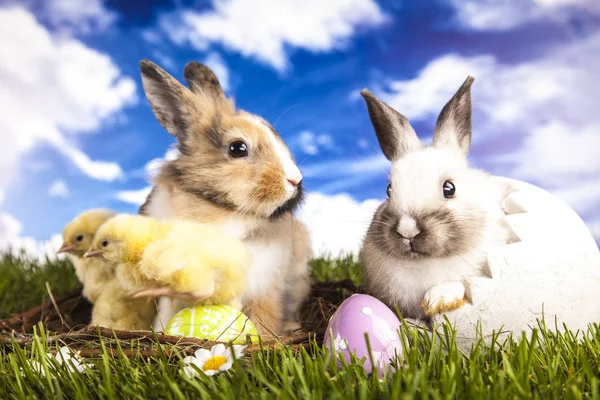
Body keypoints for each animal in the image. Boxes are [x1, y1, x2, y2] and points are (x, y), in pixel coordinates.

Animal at [138, 59, 312, 338]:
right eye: (238, 148)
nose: (295, 180)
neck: (222, 210)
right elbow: (166, 309)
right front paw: (162, 334)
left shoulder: (265, 284)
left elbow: (264, 315)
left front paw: (262, 338)